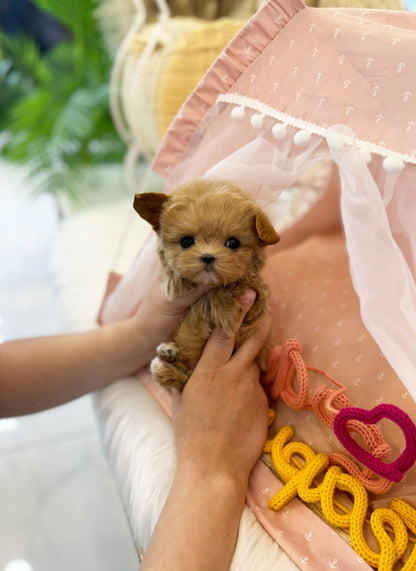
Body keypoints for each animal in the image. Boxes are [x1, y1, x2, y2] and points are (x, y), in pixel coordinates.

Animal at [133, 181, 280, 392]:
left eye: (233, 243)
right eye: (186, 241)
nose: (208, 257)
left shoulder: (255, 303)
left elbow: (235, 284)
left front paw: (224, 307)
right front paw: (176, 281)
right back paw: (168, 354)